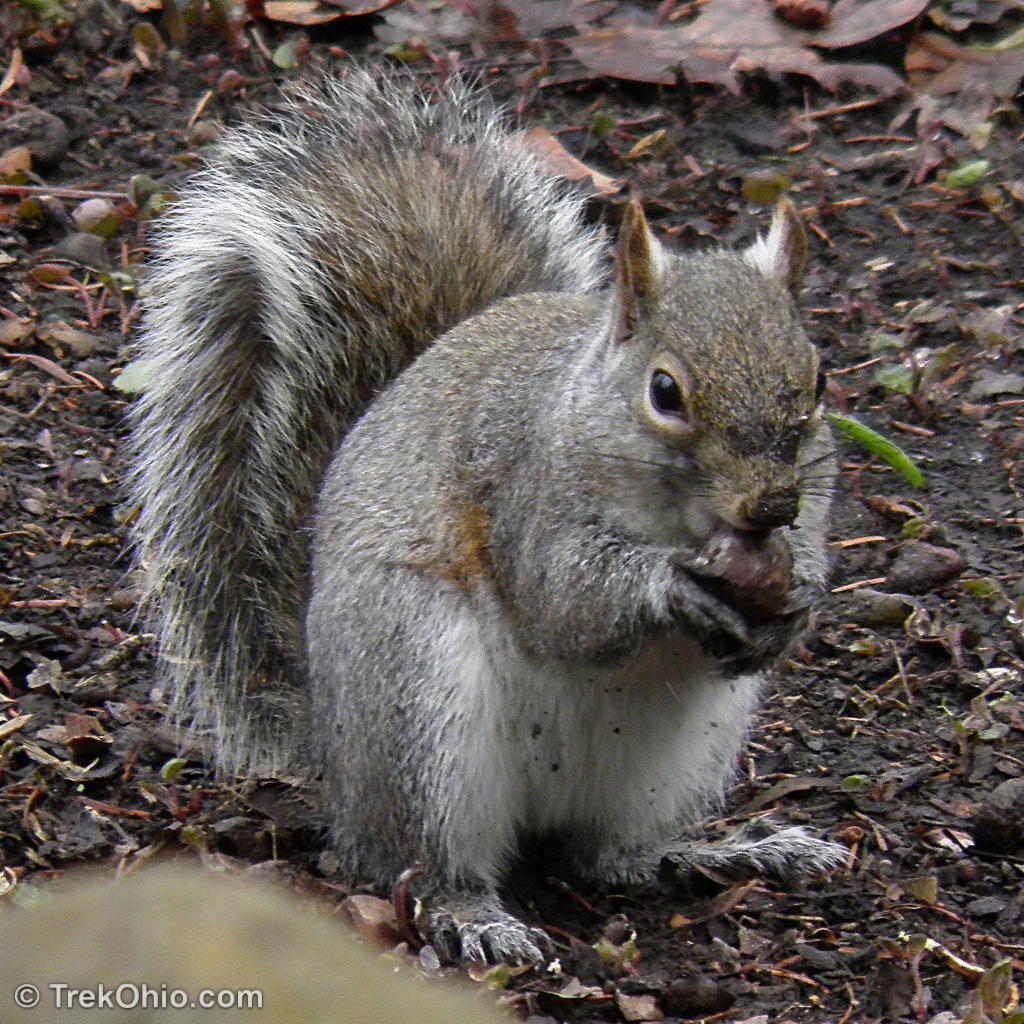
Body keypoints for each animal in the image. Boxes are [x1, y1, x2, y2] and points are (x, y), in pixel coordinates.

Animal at [128, 68, 843, 962]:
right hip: (415, 696)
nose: (771, 504)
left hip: (683, 753)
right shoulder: (524, 492)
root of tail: (331, 744)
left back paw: (718, 852)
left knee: (610, 856)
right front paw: (672, 587)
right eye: (666, 391)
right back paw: (472, 915)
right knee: (418, 862)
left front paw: (799, 601)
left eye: (818, 379)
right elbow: (565, 599)